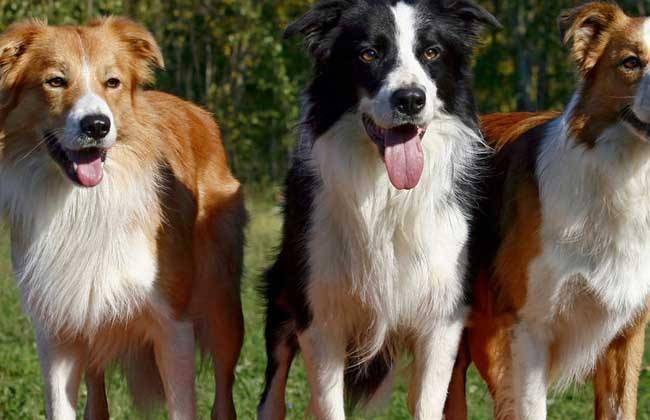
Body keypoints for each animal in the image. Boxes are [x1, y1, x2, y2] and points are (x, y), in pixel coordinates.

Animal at [0, 17, 246, 420]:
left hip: (222, 304)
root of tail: (199, 111)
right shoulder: (55, 332)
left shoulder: (173, 325)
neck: (85, 205)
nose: (97, 125)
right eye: (56, 81)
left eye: (112, 82)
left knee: (224, 395)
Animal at [256, 1, 498, 418]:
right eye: (368, 54)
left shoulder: (442, 317)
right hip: (284, 294)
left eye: (431, 53)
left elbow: (428, 402)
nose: (410, 99)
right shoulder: (320, 315)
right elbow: (328, 404)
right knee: (273, 393)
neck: (386, 194)